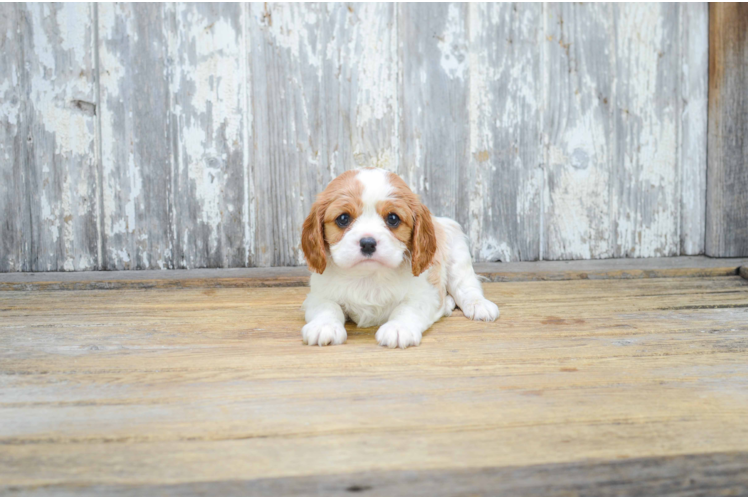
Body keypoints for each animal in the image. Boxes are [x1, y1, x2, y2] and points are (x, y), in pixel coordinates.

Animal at [300, 168, 500, 348]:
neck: (368, 275)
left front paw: (398, 328)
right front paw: (324, 326)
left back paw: (479, 305)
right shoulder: (319, 294)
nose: (368, 243)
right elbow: (328, 306)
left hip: (457, 256)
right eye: (343, 218)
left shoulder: (423, 295)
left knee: (466, 286)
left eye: (393, 218)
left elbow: (406, 308)